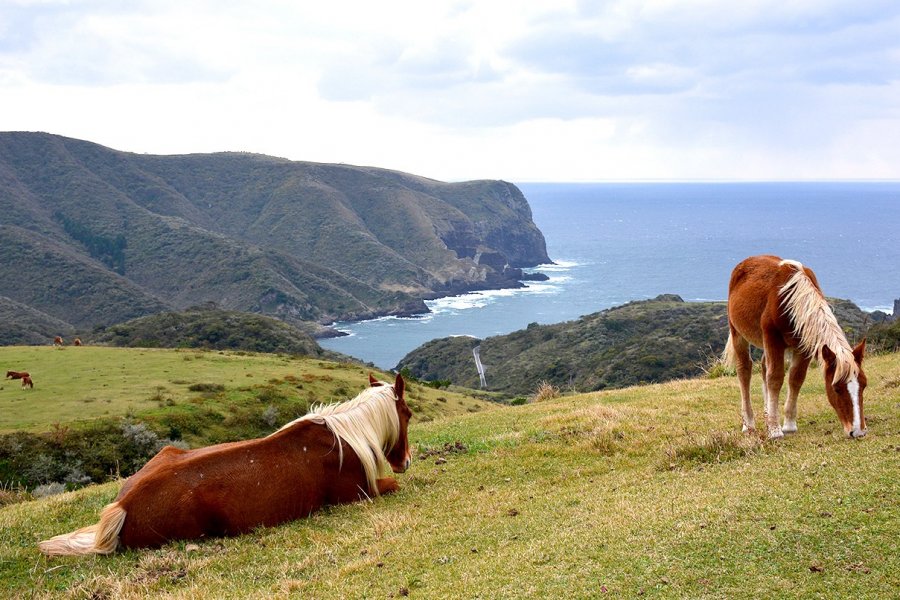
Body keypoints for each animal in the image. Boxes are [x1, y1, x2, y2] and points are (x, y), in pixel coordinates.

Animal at [38, 372, 412, 556]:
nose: (405, 461)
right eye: (407, 414)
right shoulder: (361, 493)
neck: (345, 436)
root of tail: (123, 505)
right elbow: (393, 486)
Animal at [724, 255, 864, 438]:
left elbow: (796, 379)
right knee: (744, 371)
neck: (792, 299)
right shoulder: (773, 338)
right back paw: (749, 425)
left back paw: (767, 415)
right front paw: (775, 430)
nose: (858, 431)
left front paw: (788, 425)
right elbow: (775, 378)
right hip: (738, 333)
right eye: (837, 388)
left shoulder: (804, 346)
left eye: (864, 385)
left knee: (764, 367)